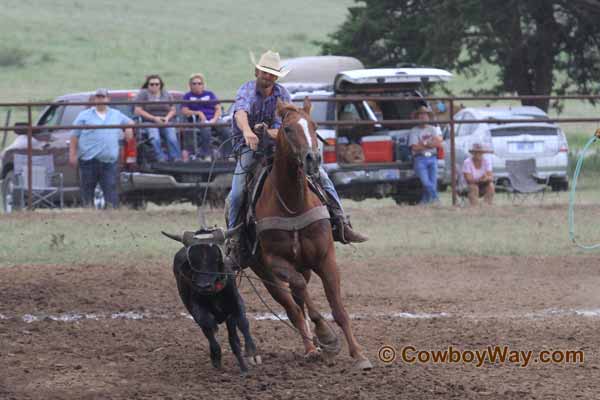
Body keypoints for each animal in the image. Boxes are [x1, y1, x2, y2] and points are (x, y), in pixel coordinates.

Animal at [248, 98, 370, 370]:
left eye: (314, 126)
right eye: (287, 129)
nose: (313, 158)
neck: (293, 203)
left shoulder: (326, 258)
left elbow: (338, 309)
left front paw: (359, 354)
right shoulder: (275, 261)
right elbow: (300, 293)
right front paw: (327, 338)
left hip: (303, 265)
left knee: (298, 300)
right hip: (265, 274)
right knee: (293, 306)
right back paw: (312, 348)